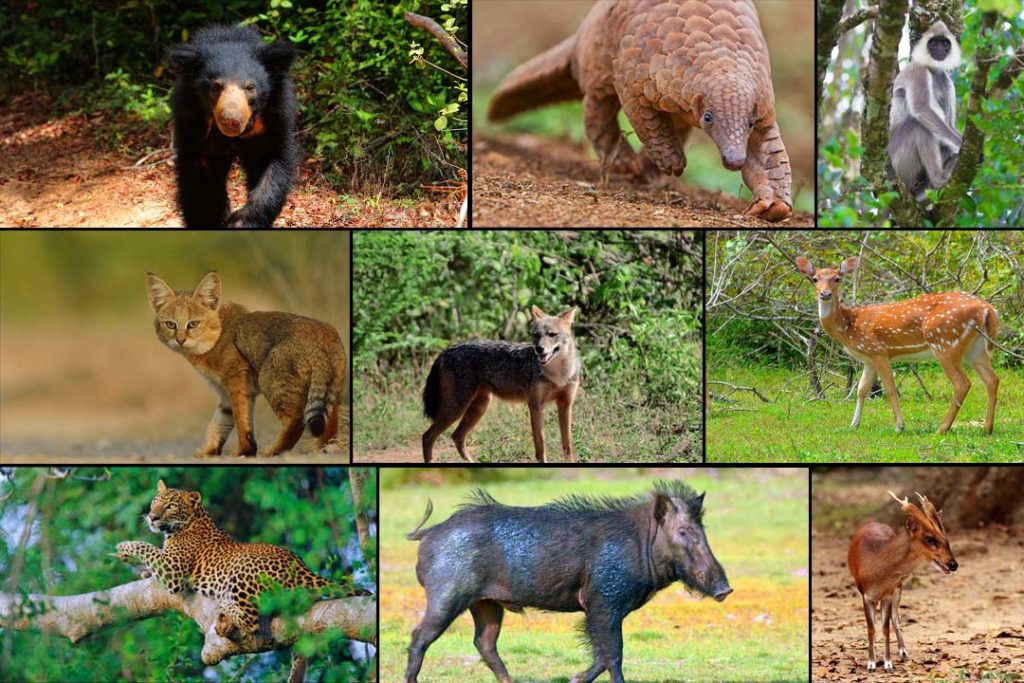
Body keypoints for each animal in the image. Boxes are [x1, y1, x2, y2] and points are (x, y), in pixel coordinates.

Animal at [114, 481, 356, 643]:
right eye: (155, 502)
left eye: (171, 506)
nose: (152, 517)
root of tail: (301, 567)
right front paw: (144, 571)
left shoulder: (173, 570)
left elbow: (146, 547)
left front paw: (125, 545)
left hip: (242, 569)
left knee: (252, 620)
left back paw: (225, 604)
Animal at [145, 270, 344, 456]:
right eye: (170, 324)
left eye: (193, 324)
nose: (180, 340)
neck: (218, 335)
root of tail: (326, 333)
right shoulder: (224, 393)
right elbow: (219, 422)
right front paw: (208, 452)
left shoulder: (237, 383)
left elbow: (242, 420)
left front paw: (244, 452)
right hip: (330, 390)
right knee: (331, 421)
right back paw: (323, 447)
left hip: (271, 381)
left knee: (296, 420)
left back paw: (273, 451)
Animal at [166, 25, 296, 228]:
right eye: (216, 87)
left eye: (250, 87)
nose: (231, 120)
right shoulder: (195, 127)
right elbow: (202, 182)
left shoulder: (272, 122)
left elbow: (271, 168)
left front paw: (241, 221)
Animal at [790, 255, 999, 432]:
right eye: (814, 279)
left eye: (837, 279)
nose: (825, 294)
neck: (849, 327)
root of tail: (987, 308)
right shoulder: (868, 358)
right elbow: (861, 389)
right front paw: (853, 424)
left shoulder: (879, 351)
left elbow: (890, 389)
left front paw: (900, 426)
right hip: (975, 347)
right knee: (992, 379)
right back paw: (986, 428)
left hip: (945, 343)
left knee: (962, 383)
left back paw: (943, 428)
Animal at [884, 20, 962, 200]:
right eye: (933, 43)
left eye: (944, 43)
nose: (939, 49)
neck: (932, 69)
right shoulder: (917, 70)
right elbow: (922, 110)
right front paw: (961, 145)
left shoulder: (947, 81)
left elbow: (949, 125)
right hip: (897, 162)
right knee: (916, 124)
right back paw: (939, 178)